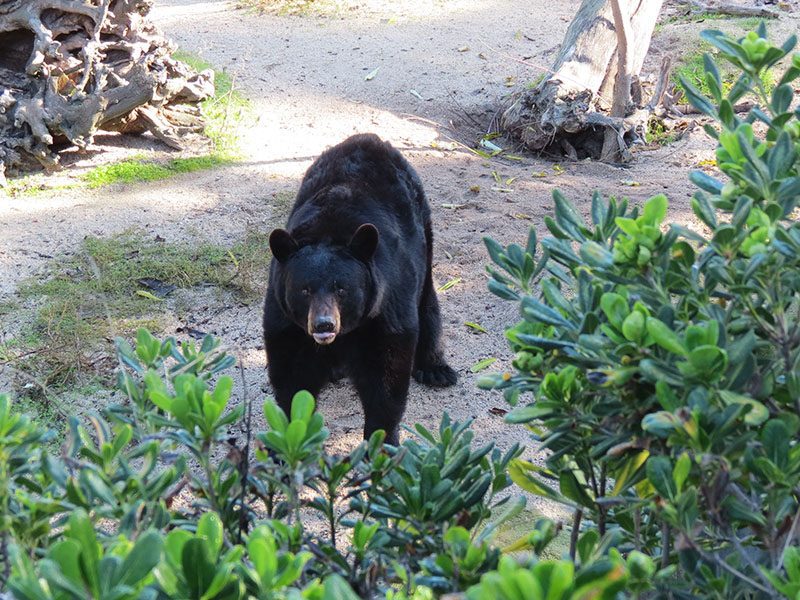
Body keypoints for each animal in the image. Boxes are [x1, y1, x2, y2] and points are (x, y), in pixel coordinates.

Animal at [264, 135, 456, 446]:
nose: (324, 324)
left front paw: (381, 440)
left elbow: (386, 380)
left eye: (341, 288)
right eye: (304, 290)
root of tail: (369, 138)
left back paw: (436, 369)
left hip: (424, 237)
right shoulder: (285, 318)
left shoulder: (384, 308)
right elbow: (291, 378)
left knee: (427, 298)